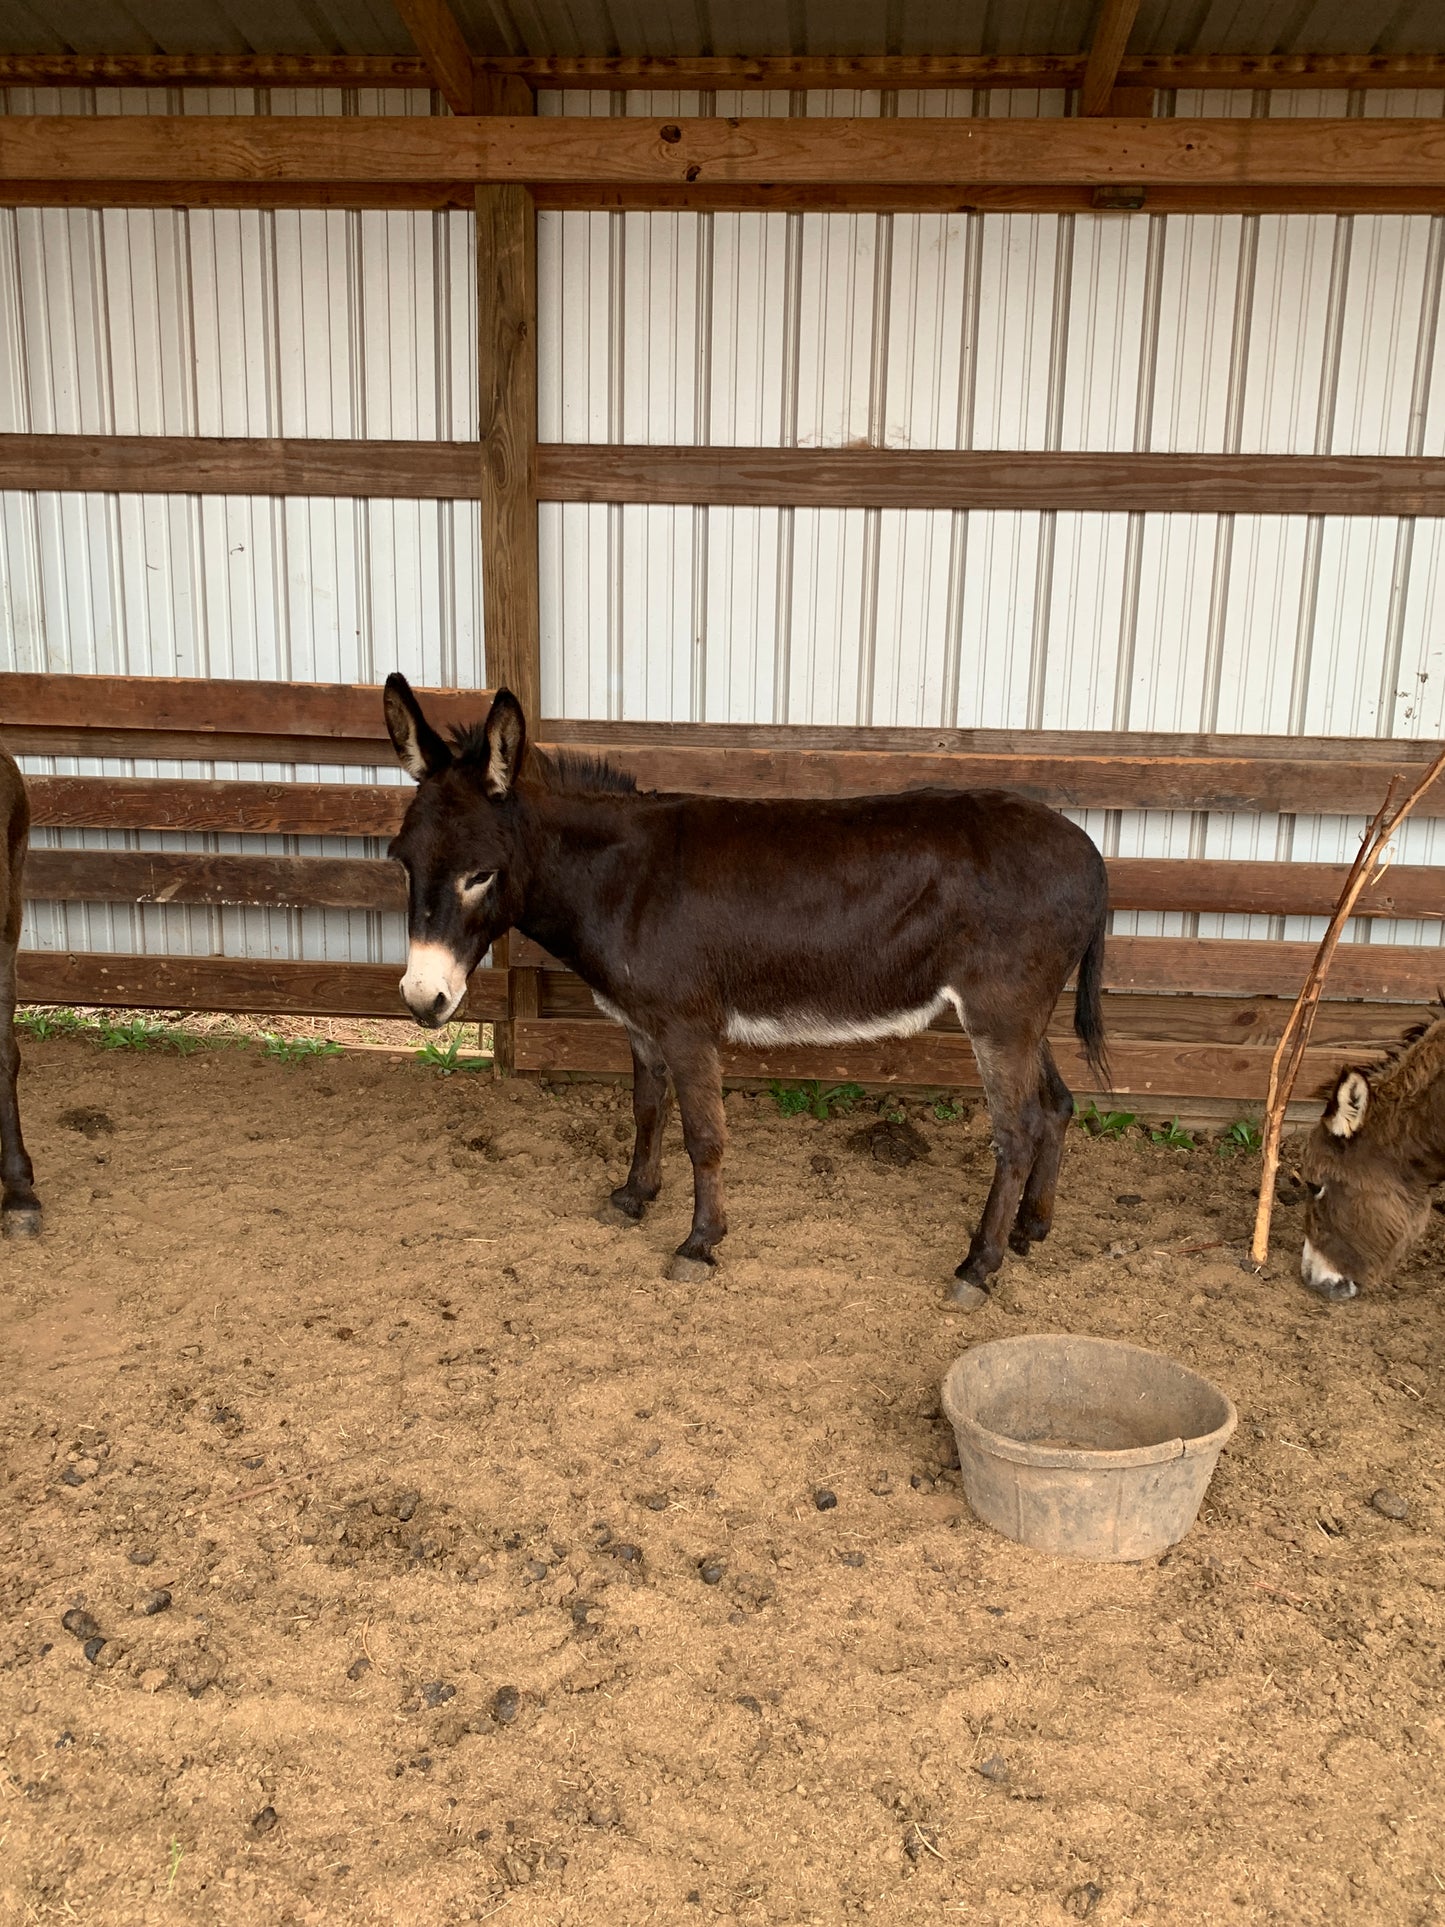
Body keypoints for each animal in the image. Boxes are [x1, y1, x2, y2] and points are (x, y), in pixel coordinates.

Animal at [383, 678, 1109, 1309]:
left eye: (481, 875)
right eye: (400, 862)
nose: (422, 999)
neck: (619, 881)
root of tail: (1089, 848)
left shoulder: (686, 1025)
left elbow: (704, 1134)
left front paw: (699, 1244)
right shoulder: (640, 1024)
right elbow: (647, 1110)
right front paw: (633, 1196)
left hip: (998, 1013)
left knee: (1016, 1130)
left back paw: (977, 1267)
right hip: (1025, 1017)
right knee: (1057, 1106)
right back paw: (1030, 1228)